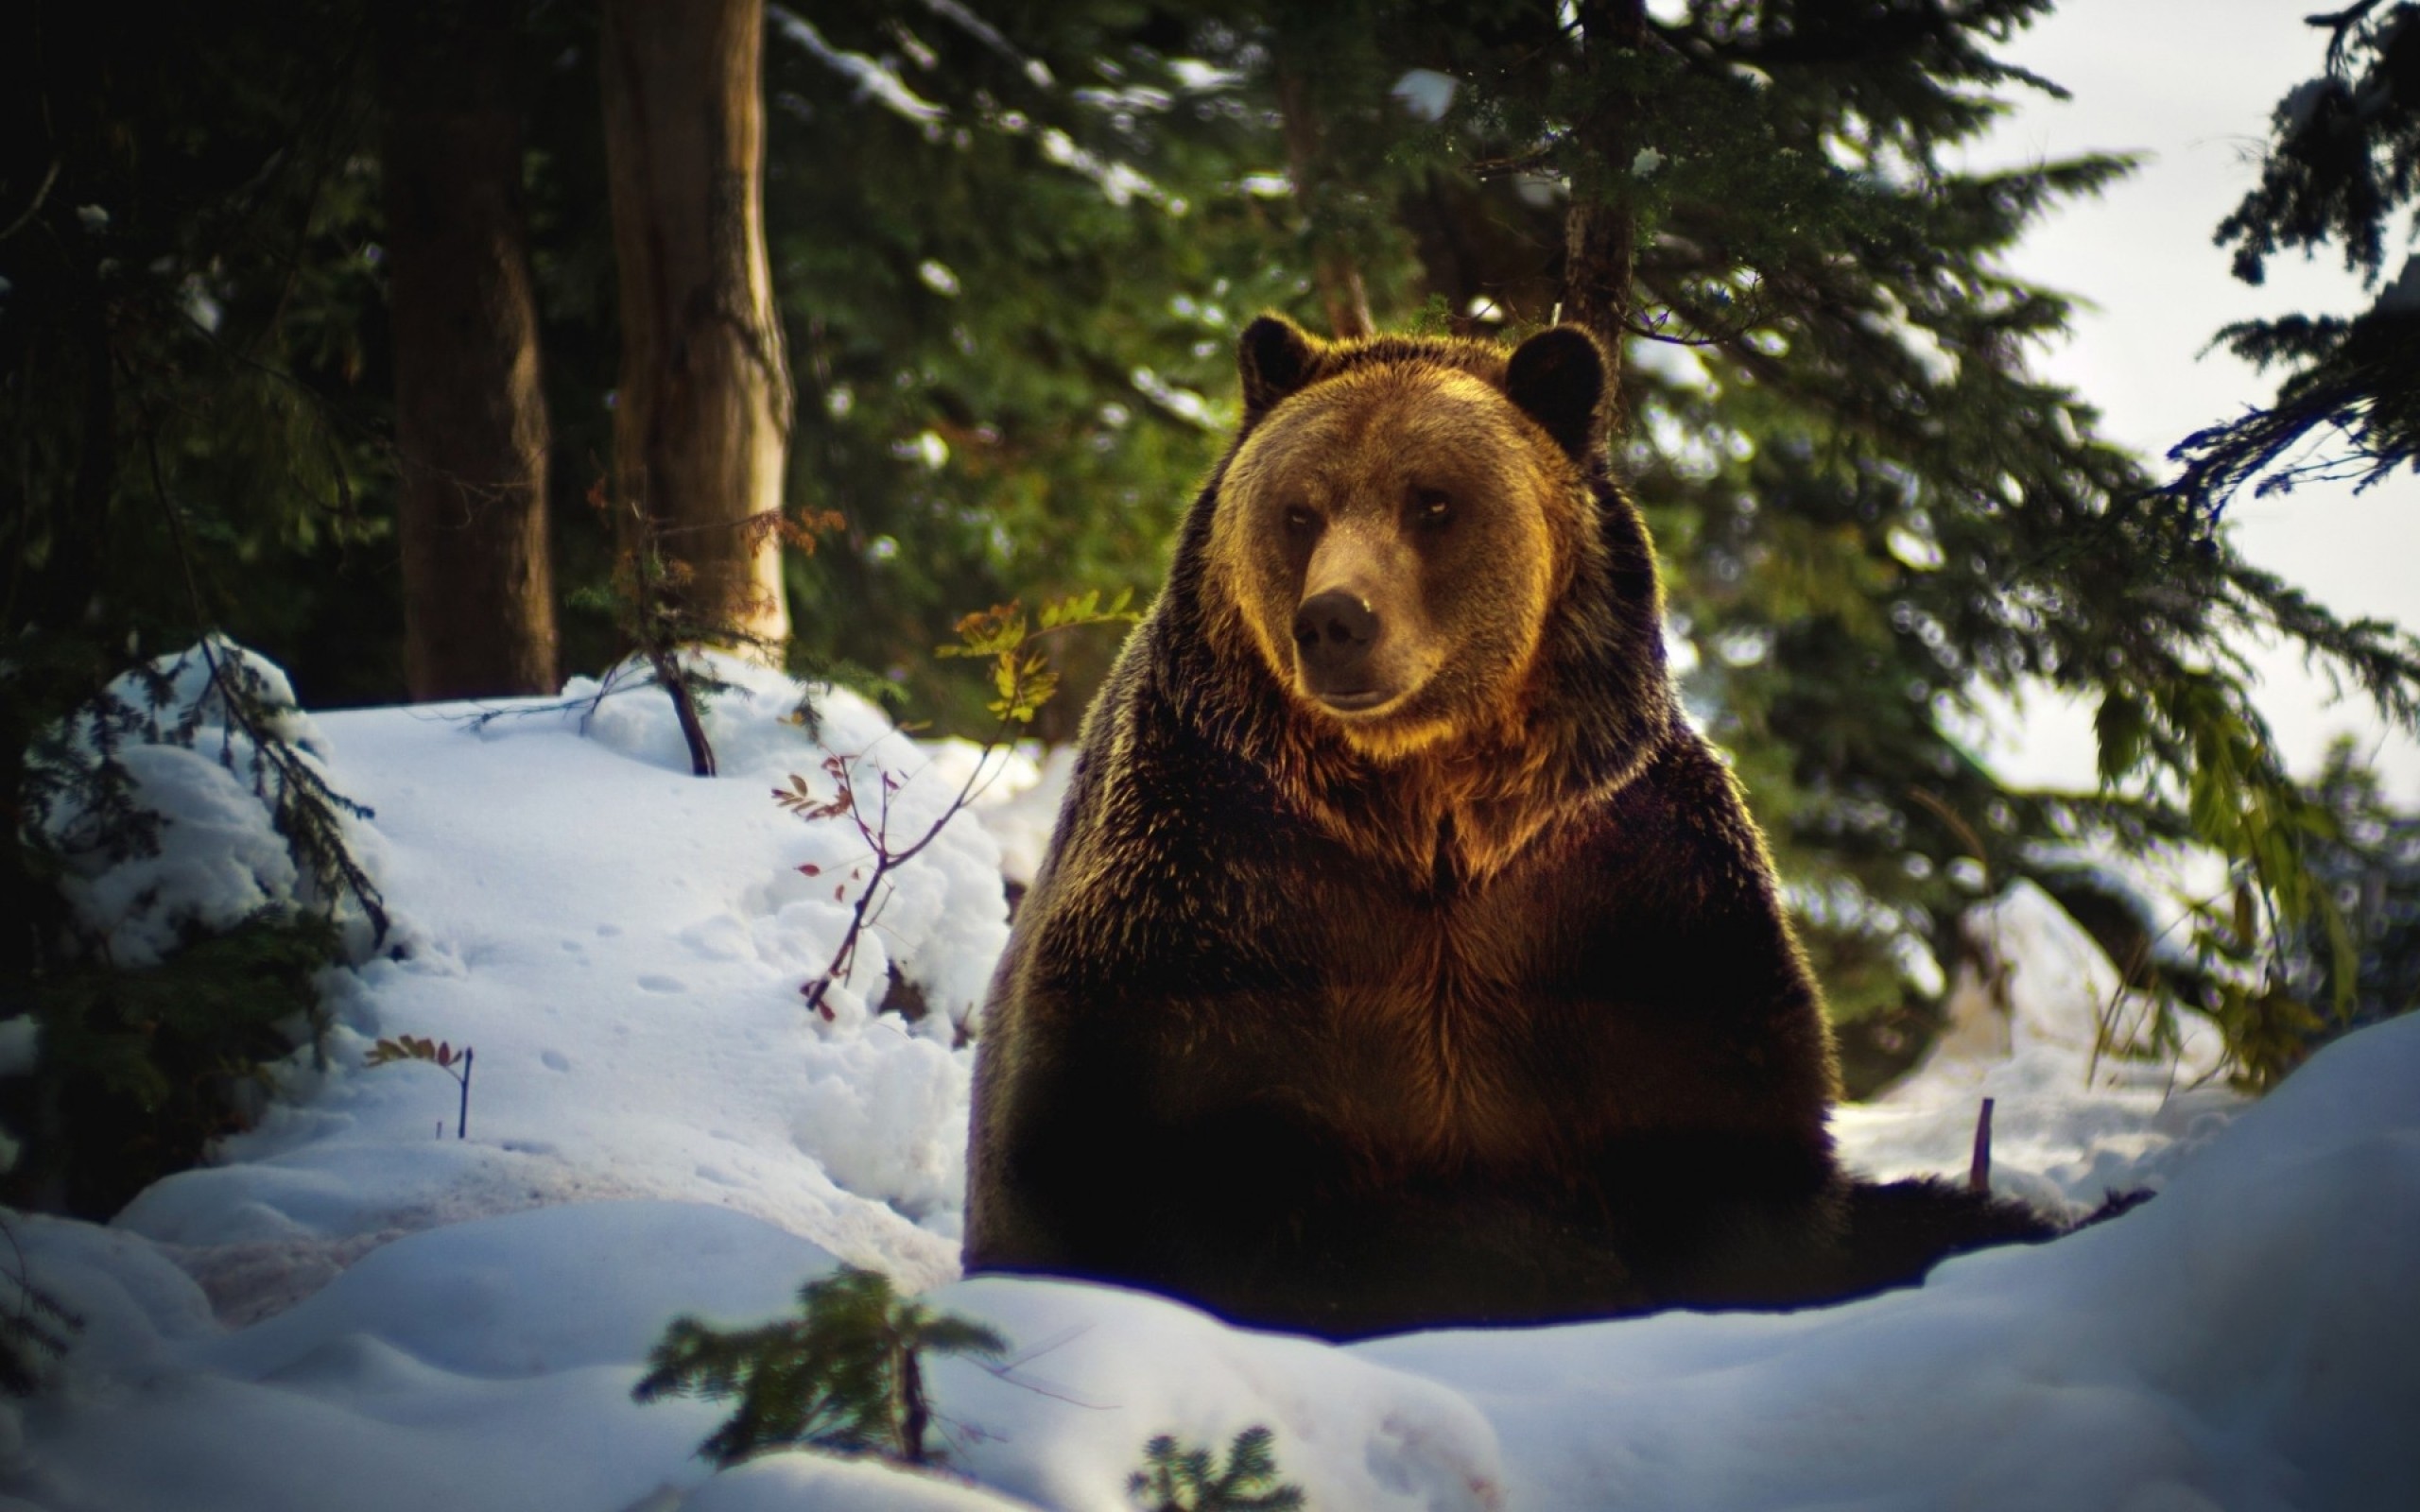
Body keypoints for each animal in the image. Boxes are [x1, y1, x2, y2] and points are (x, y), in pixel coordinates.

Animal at [953, 314, 2051, 1335]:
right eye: (1298, 509)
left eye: (1432, 501)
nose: (1336, 620)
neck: (1428, 808)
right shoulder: (1215, 873)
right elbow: (1129, 1146)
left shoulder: (1626, 886)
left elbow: (1732, 1141)